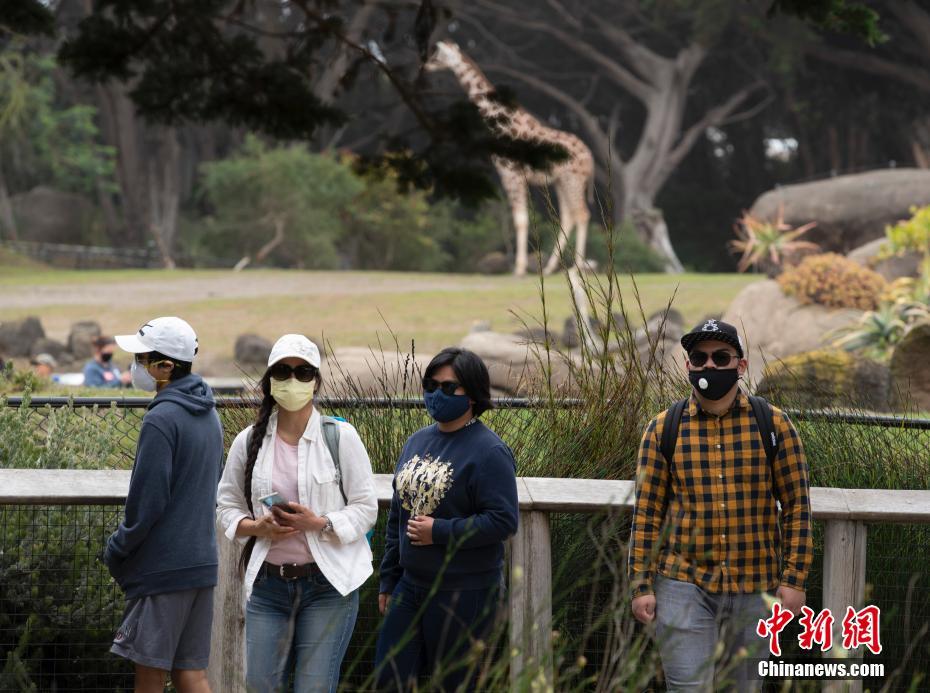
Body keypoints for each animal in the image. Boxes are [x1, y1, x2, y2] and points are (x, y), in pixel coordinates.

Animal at [424, 41, 592, 276]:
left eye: (437, 55)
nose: (425, 65)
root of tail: (590, 159)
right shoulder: (512, 174)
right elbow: (521, 218)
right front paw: (521, 268)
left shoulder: (510, 172)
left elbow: (520, 219)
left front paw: (519, 269)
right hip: (561, 181)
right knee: (569, 217)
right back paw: (550, 268)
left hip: (573, 180)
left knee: (582, 214)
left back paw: (576, 268)